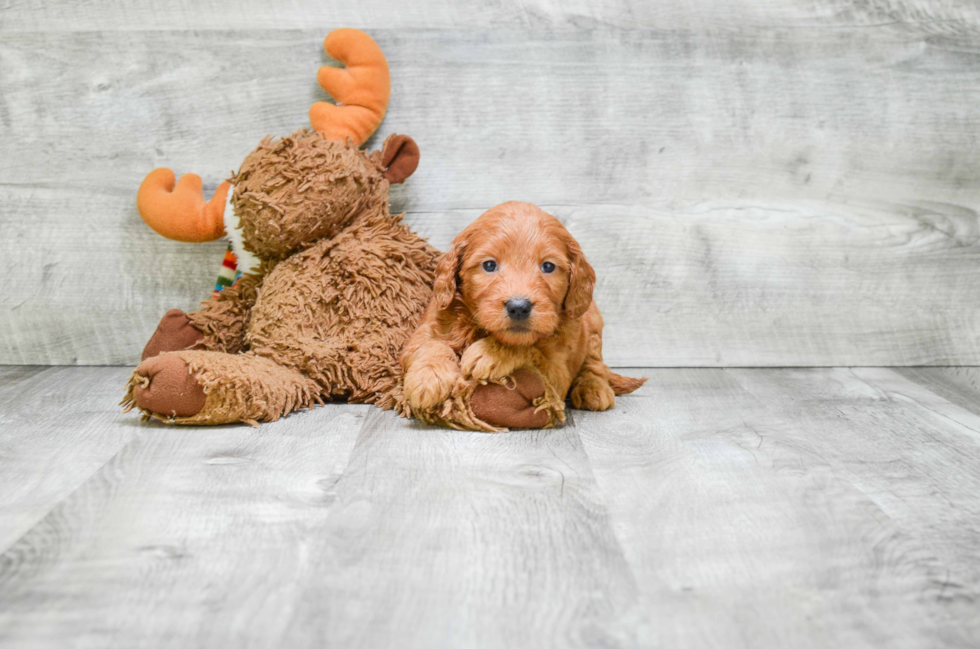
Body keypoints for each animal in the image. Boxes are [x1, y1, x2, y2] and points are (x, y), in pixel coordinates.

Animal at [398, 200, 644, 428]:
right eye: (489, 265)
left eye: (548, 267)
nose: (518, 307)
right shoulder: (426, 329)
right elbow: (430, 345)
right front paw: (428, 378)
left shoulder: (558, 374)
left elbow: (530, 350)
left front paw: (489, 353)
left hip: (592, 324)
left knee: (595, 364)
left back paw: (593, 388)